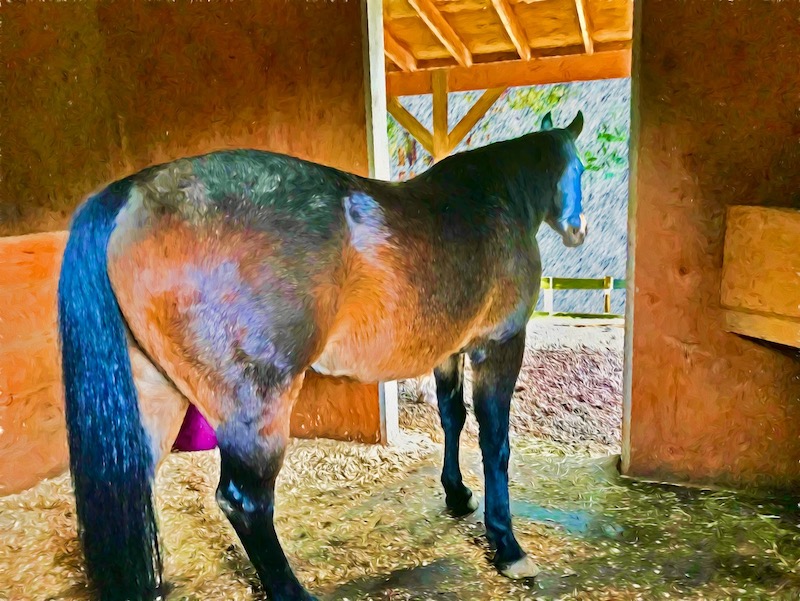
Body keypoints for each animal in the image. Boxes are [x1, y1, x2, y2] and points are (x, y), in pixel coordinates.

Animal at [57, 110, 588, 596]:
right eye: (579, 168)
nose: (578, 229)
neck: (495, 199)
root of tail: (132, 193)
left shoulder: (450, 351)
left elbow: (452, 419)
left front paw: (457, 496)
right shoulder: (498, 345)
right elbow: (495, 442)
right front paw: (508, 547)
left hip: (153, 398)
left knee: (133, 484)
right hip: (255, 411)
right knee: (244, 502)